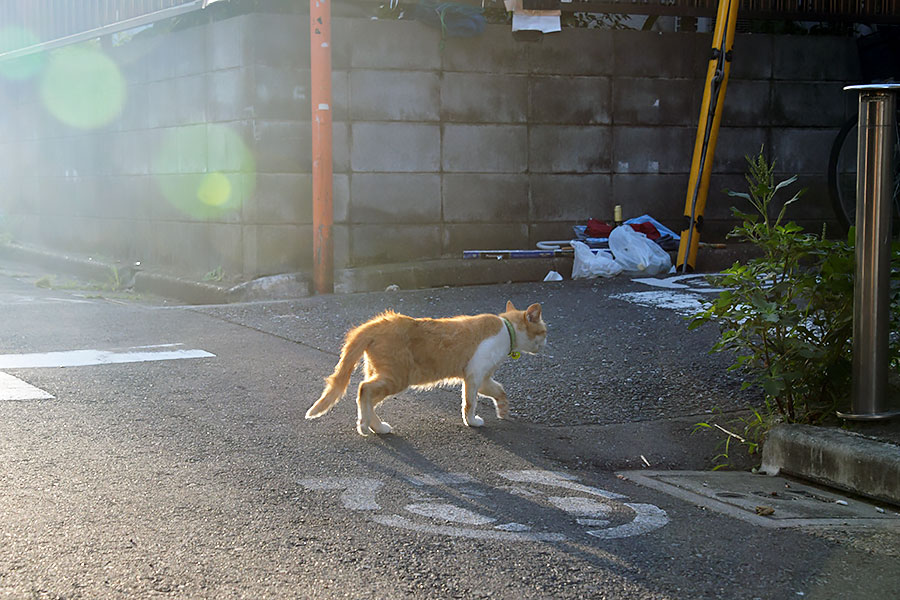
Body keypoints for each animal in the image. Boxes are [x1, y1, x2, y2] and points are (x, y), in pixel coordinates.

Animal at [308, 300, 548, 436]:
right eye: (544, 332)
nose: (546, 343)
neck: (506, 330)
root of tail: (378, 322)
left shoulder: (484, 378)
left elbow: (500, 390)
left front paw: (503, 410)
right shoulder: (474, 375)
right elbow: (469, 403)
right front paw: (471, 422)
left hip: (383, 374)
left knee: (367, 399)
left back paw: (377, 427)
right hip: (397, 377)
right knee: (363, 390)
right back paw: (365, 426)